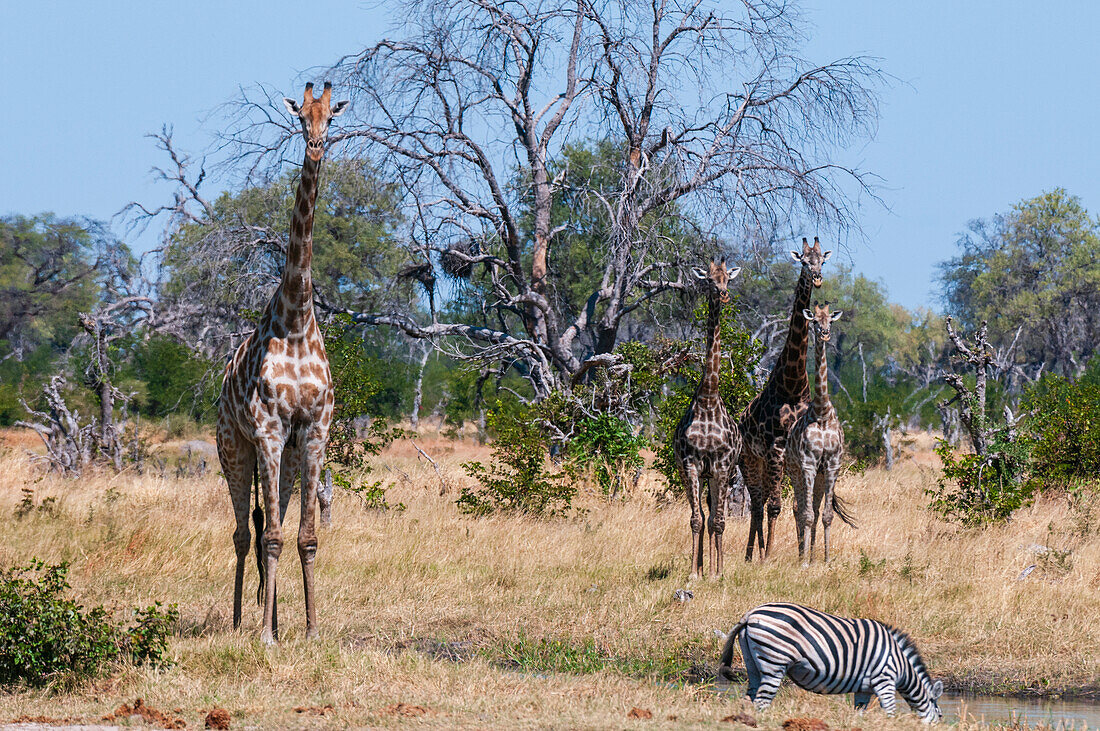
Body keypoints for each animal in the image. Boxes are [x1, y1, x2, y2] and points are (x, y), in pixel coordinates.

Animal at [717, 602, 941, 721]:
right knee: (762, 701)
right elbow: (890, 712)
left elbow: (859, 713)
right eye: (939, 716)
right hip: (774, 660)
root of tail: (750, 614)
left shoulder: (865, 689)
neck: (901, 665)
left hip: (752, 663)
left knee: (750, 698)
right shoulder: (884, 680)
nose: (940, 722)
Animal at [734, 235, 827, 558]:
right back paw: (753, 554)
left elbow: (797, 506)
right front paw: (768, 557)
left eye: (823, 261)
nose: (818, 278)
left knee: (765, 502)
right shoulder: (775, 446)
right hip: (750, 460)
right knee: (757, 504)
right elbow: (774, 506)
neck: (793, 384)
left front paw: (802, 554)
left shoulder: (793, 454)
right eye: (804, 262)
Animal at [787, 301, 853, 562]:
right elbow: (806, 514)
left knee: (813, 509)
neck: (822, 413)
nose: (824, 333)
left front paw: (824, 559)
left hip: (821, 475)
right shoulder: (808, 464)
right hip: (794, 471)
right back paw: (802, 555)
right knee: (799, 508)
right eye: (814, 321)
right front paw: (805, 562)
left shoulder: (832, 465)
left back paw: (812, 554)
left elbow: (825, 515)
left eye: (830, 321)